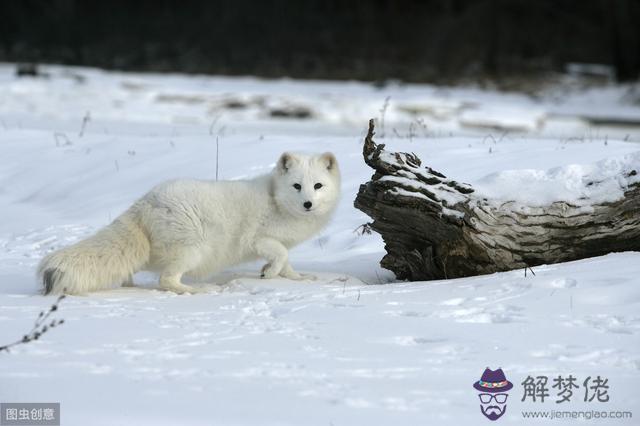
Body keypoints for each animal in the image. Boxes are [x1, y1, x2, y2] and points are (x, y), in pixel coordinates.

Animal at [37, 151, 340, 294]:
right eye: (297, 186)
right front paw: (269, 272)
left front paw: (295, 278)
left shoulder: (279, 242)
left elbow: (287, 261)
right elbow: (281, 254)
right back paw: (194, 290)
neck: (275, 199)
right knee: (166, 279)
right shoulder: (259, 239)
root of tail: (144, 202)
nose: (308, 204)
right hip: (194, 249)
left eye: (318, 186)